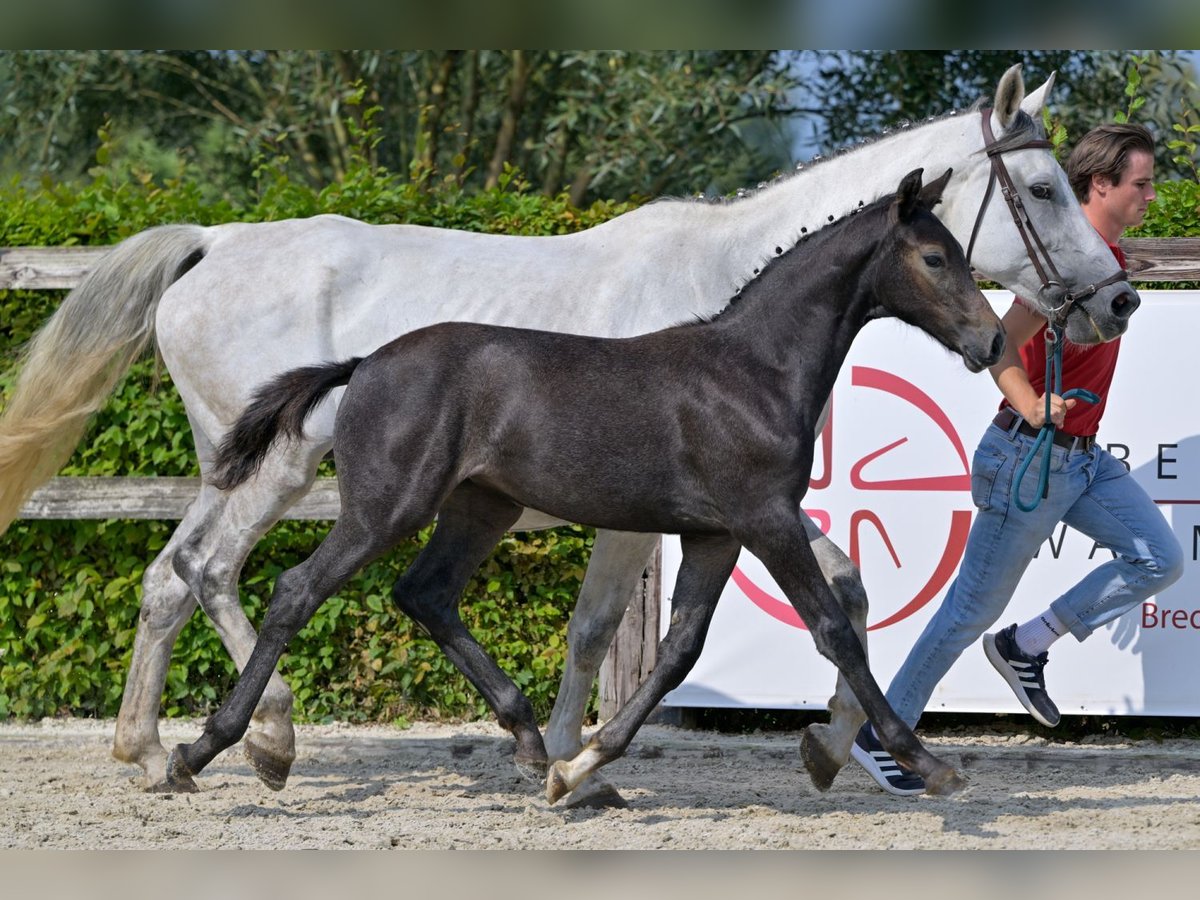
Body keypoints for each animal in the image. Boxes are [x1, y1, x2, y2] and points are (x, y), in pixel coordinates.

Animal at [0, 68, 1137, 801]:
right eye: (1045, 188)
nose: (1117, 302)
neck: (730, 318)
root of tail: (210, 239)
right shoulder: (674, 519)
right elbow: (614, 632)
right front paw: (570, 758)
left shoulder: (734, 515)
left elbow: (837, 600)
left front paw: (829, 747)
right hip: (294, 473)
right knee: (226, 576)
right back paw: (263, 739)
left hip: (259, 469)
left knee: (173, 576)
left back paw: (148, 749)